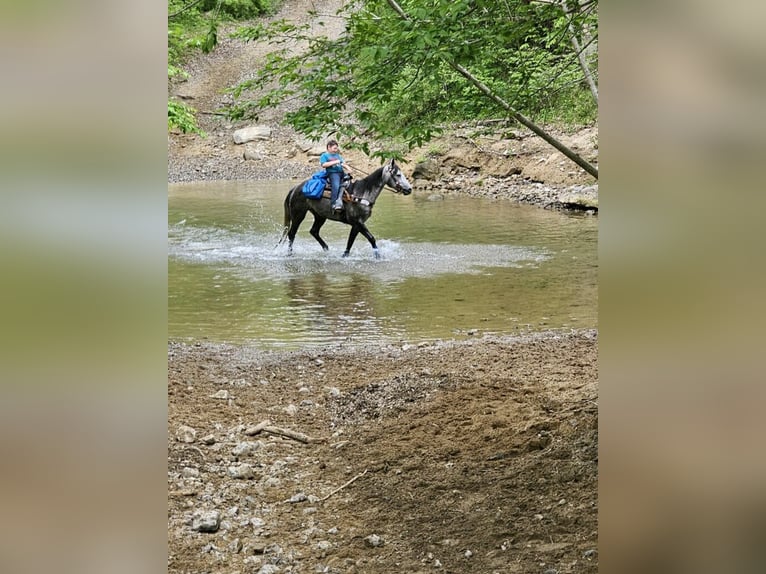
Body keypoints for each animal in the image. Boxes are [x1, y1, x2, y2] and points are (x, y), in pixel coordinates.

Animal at [279, 159, 412, 259]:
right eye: (398, 175)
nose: (409, 189)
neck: (362, 193)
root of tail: (296, 188)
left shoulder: (357, 225)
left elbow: (350, 240)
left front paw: (345, 255)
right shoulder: (358, 222)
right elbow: (371, 238)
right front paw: (378, 256)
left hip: (320, 216)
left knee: (314, 231)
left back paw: (327, 249)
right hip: (298, 215)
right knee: (292, 234)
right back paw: (290, 254)